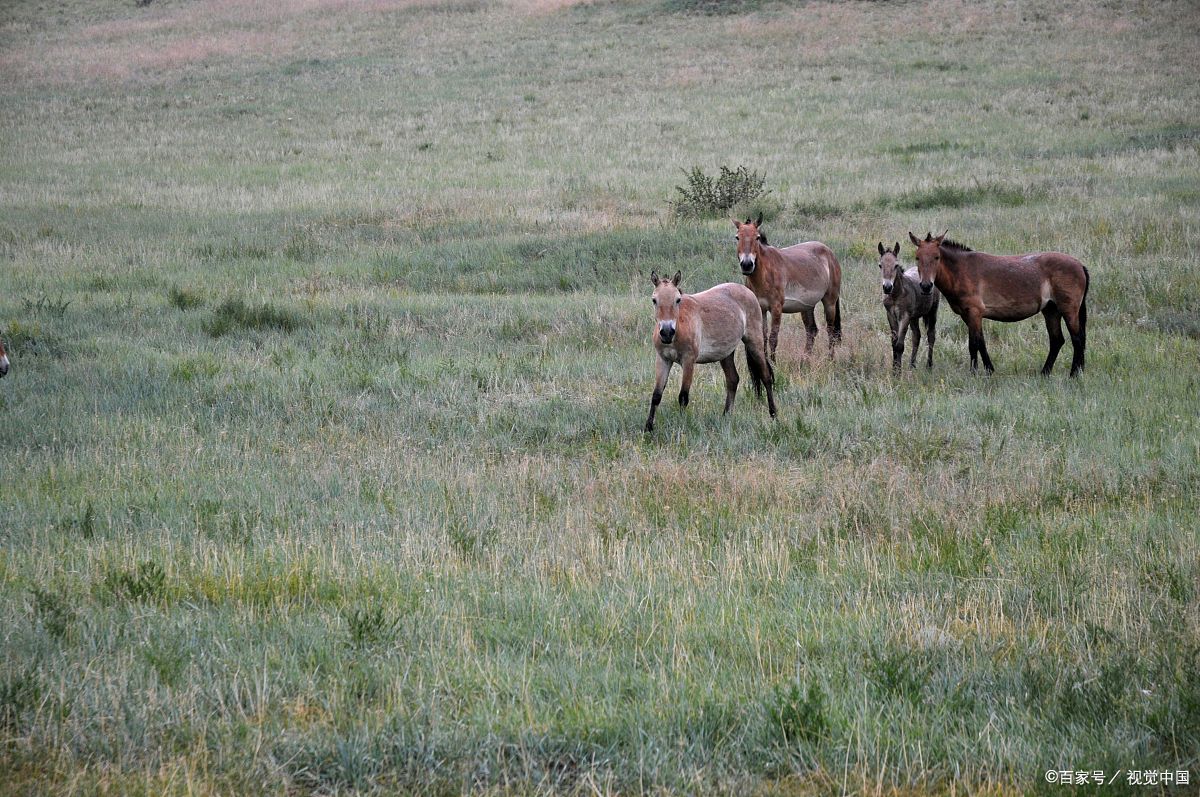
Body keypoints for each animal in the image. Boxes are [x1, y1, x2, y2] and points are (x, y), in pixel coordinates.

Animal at [648, 272, 777, 436]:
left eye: (677, 300)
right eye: (654, 300)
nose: (666, 332)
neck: (681, 326)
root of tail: (747, 291)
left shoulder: (688, 361)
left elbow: (683, 397)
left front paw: (681, 426)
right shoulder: (663, 360)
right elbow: (656, 395)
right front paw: (648, 428)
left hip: (755, 343)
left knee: (766, 377)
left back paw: (773, 414)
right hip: (726, 353)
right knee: (733, 380)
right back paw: (726, 416)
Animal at [729, 211, 844, 360]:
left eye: (757, 237)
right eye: (737, 237)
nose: (747, 265)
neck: (765, 275)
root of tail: (829, 252)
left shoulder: (776, 308)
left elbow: (773, 338)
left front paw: (773, 363)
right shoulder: (761, 308)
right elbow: (764, 338)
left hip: (829, 302)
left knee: (830, 330)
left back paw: (830, 360)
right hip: (807, 306)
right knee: (812, 330)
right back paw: (805, 360)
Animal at [878, 241, 940, 372]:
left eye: (896, 265)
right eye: (880, 265)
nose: (887, 287)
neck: (896, 295)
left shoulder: (904, 316)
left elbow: (899, 345)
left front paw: (897, 372)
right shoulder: (890, 315)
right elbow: (894, 344)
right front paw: (895, 369)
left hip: (932, 311)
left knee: (931, 335)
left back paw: (929, 365)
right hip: (914, 317)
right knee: (916, 336)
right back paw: (912, 365)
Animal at [907, 231, 1089, 379]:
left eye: (936, 257)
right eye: (917, 257)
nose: (926, 286)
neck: (961, 271)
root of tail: (1079, 264)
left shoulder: (974, 313)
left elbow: (974, 344)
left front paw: (974, 373)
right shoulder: (968, 315)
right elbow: (981, 343)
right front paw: (988, 370)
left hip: (1069, 310)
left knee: (1077, 338)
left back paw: (1074, 374)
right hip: (1051, 311)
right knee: (1057, 340)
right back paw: (1045, 373)